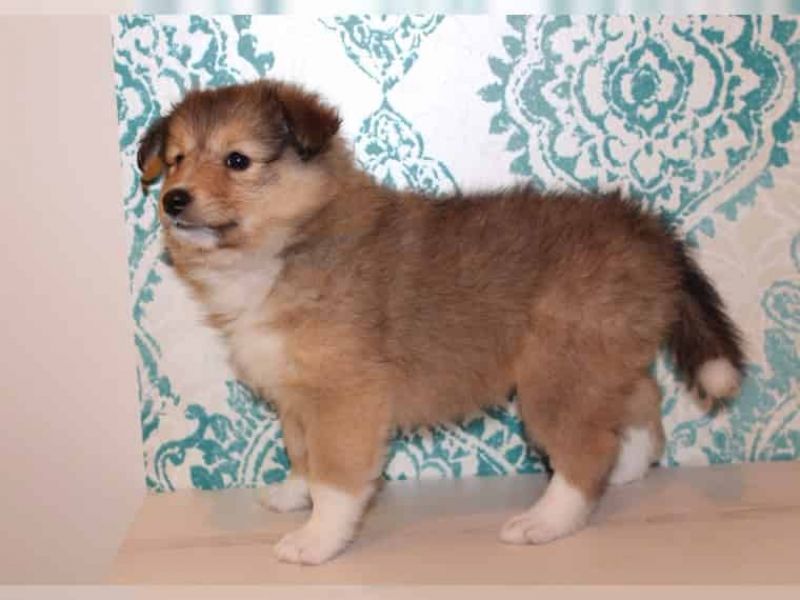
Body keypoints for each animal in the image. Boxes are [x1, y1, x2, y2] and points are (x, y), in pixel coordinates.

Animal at [137, 79, 744, 565]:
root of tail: (645, 227)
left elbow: (336, 478)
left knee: (587, 448)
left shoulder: (343, 396)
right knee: (641, 407)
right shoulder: (297, 397)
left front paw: (316, 540)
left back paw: (546, 521)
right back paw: (627, 470)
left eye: (237, 160)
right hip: (604, 355)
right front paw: (294, 495)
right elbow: (302, 455)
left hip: (558, 373)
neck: (288, 242)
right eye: (176, 159)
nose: (173, 200)